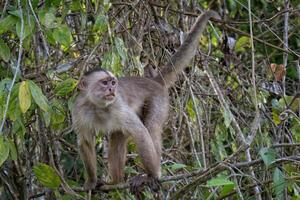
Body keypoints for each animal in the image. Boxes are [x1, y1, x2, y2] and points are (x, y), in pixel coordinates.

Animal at [71, 10, 219, 191]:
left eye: (113, 82)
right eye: (104, 83)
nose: (112, 89)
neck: (98, 106)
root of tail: (154, 81)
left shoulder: (117, 105)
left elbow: (141, 132)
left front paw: (152, 175)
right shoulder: (79, 109)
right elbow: (85, 142)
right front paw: (91, 181)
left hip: (159, 99)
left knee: (151, 127)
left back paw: (150, 175)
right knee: (117, 137)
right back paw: (116, 181)